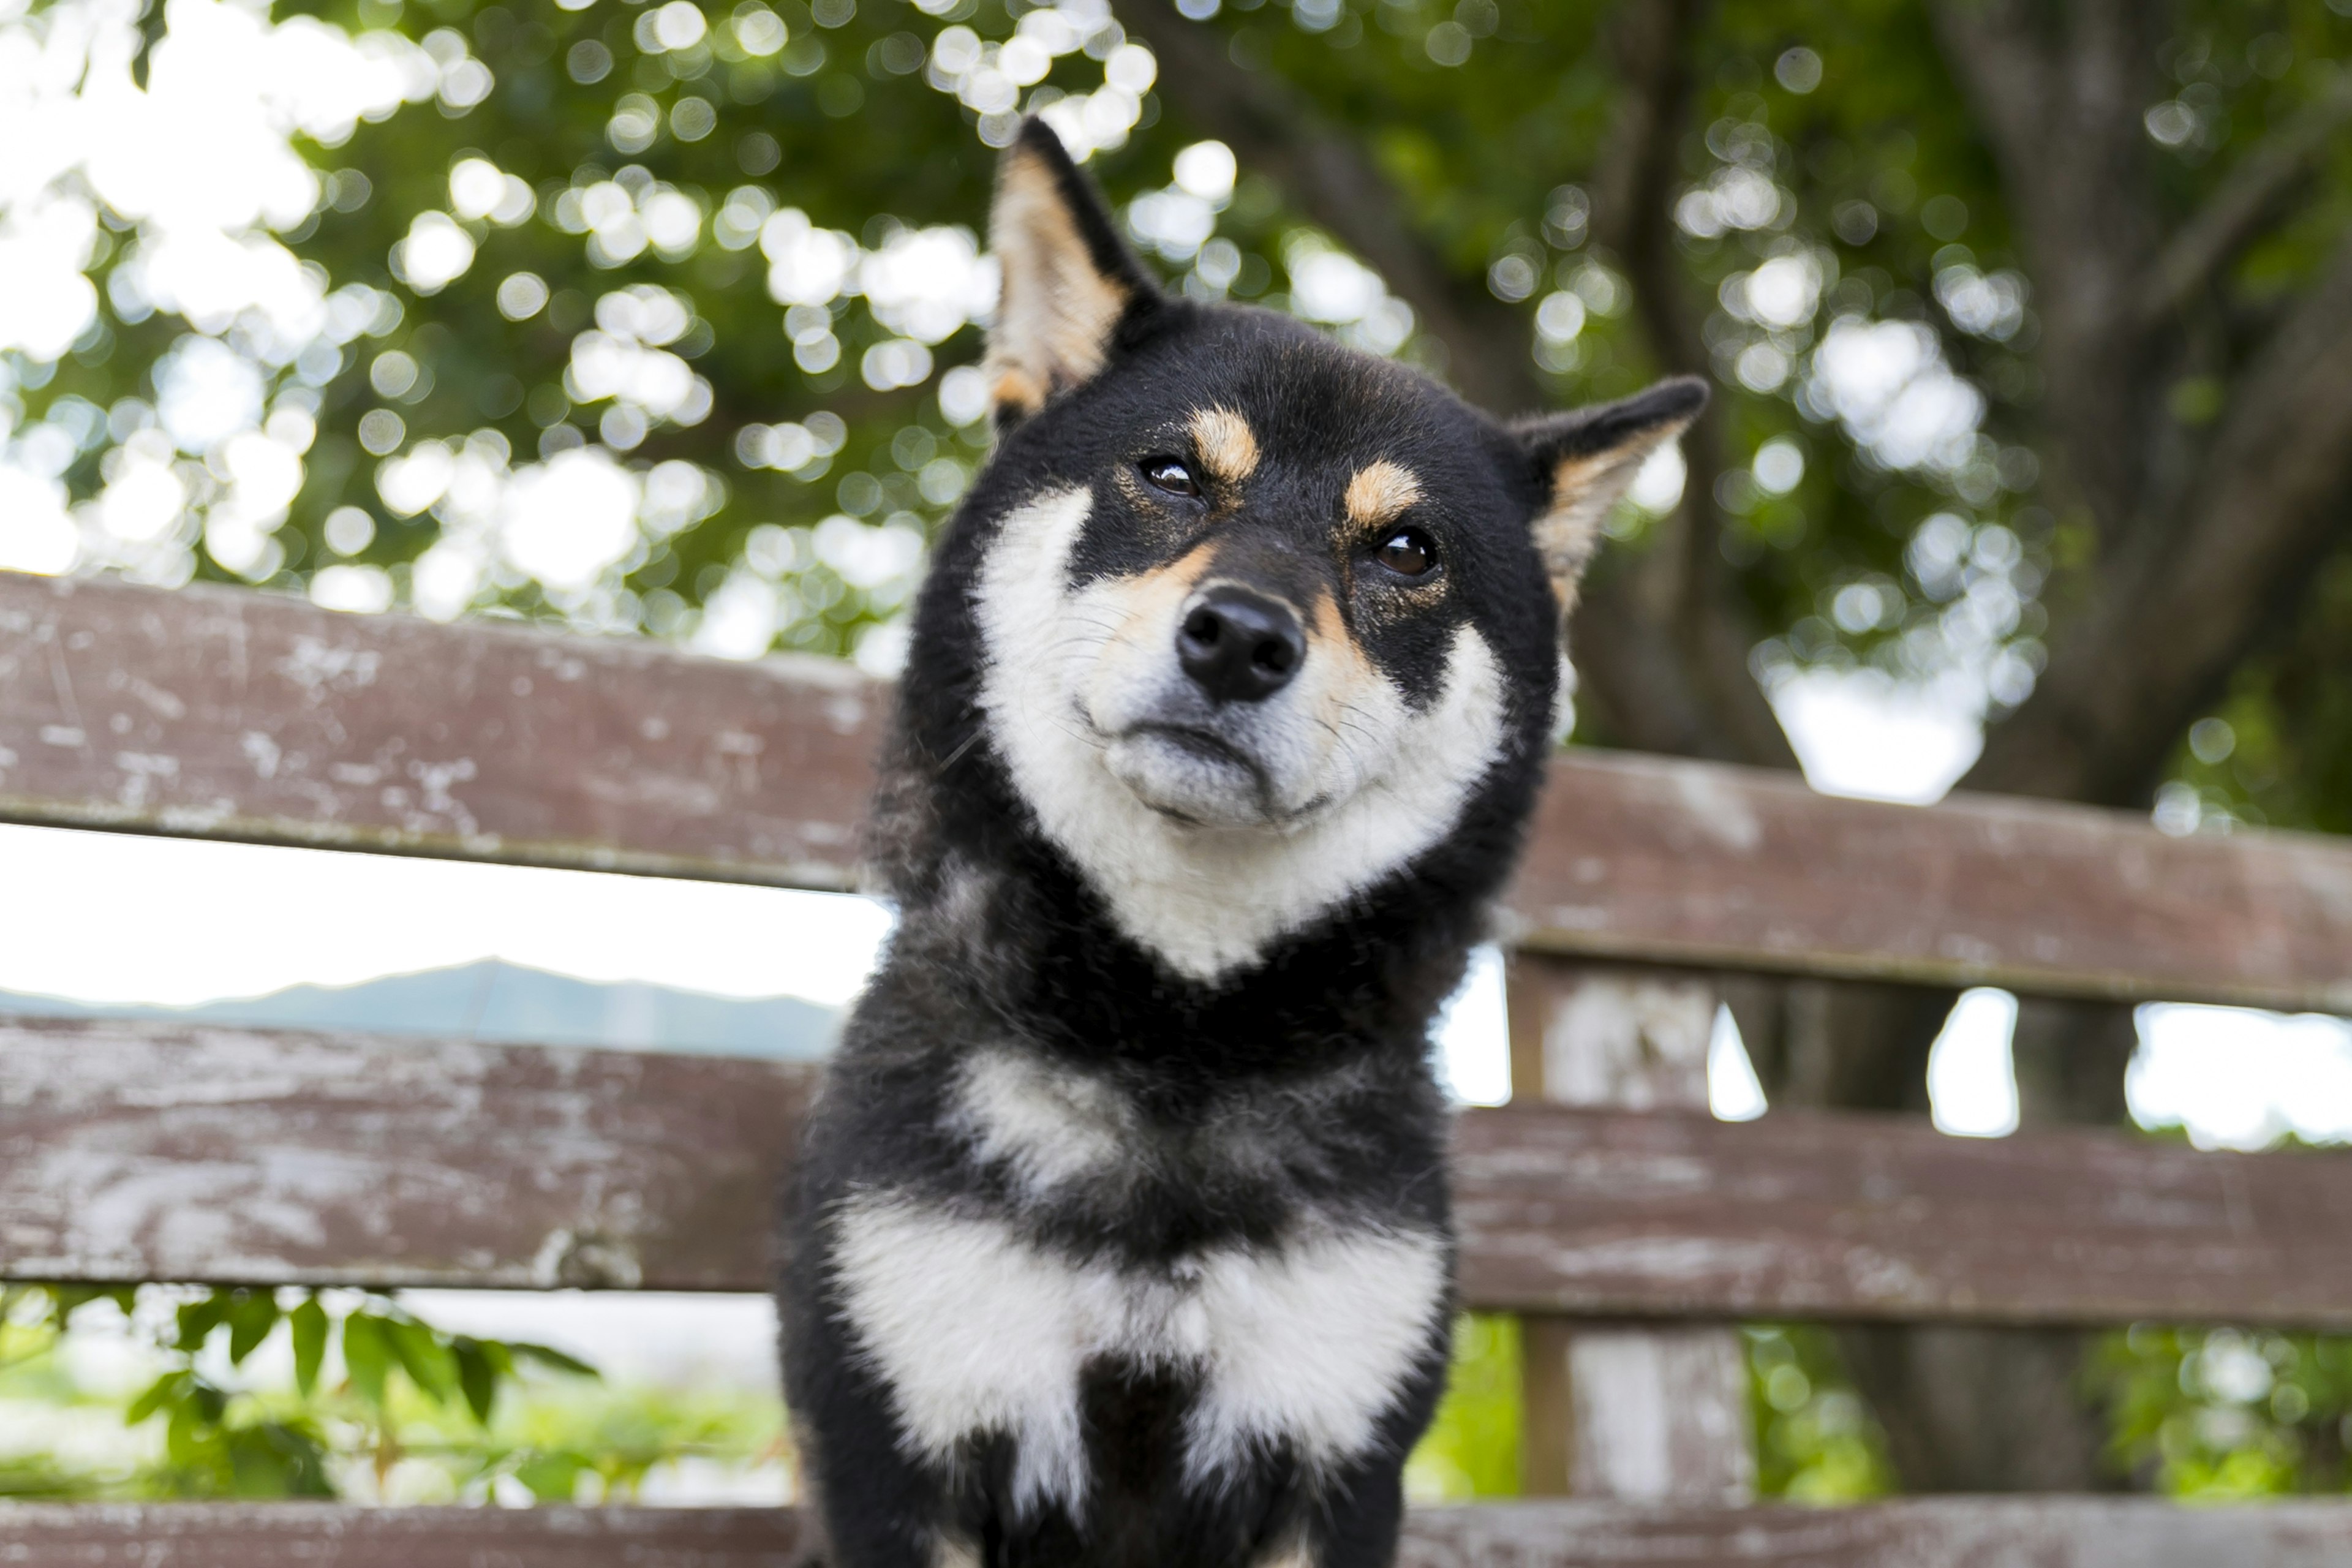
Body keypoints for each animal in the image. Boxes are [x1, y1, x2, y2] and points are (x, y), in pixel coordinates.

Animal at [780, 123, 1703, 1568]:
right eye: (1171, 473)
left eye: (1407, 547)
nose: (1241, 638)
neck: (1177, 1040)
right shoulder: (898, 1459)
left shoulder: (1333, 1462)